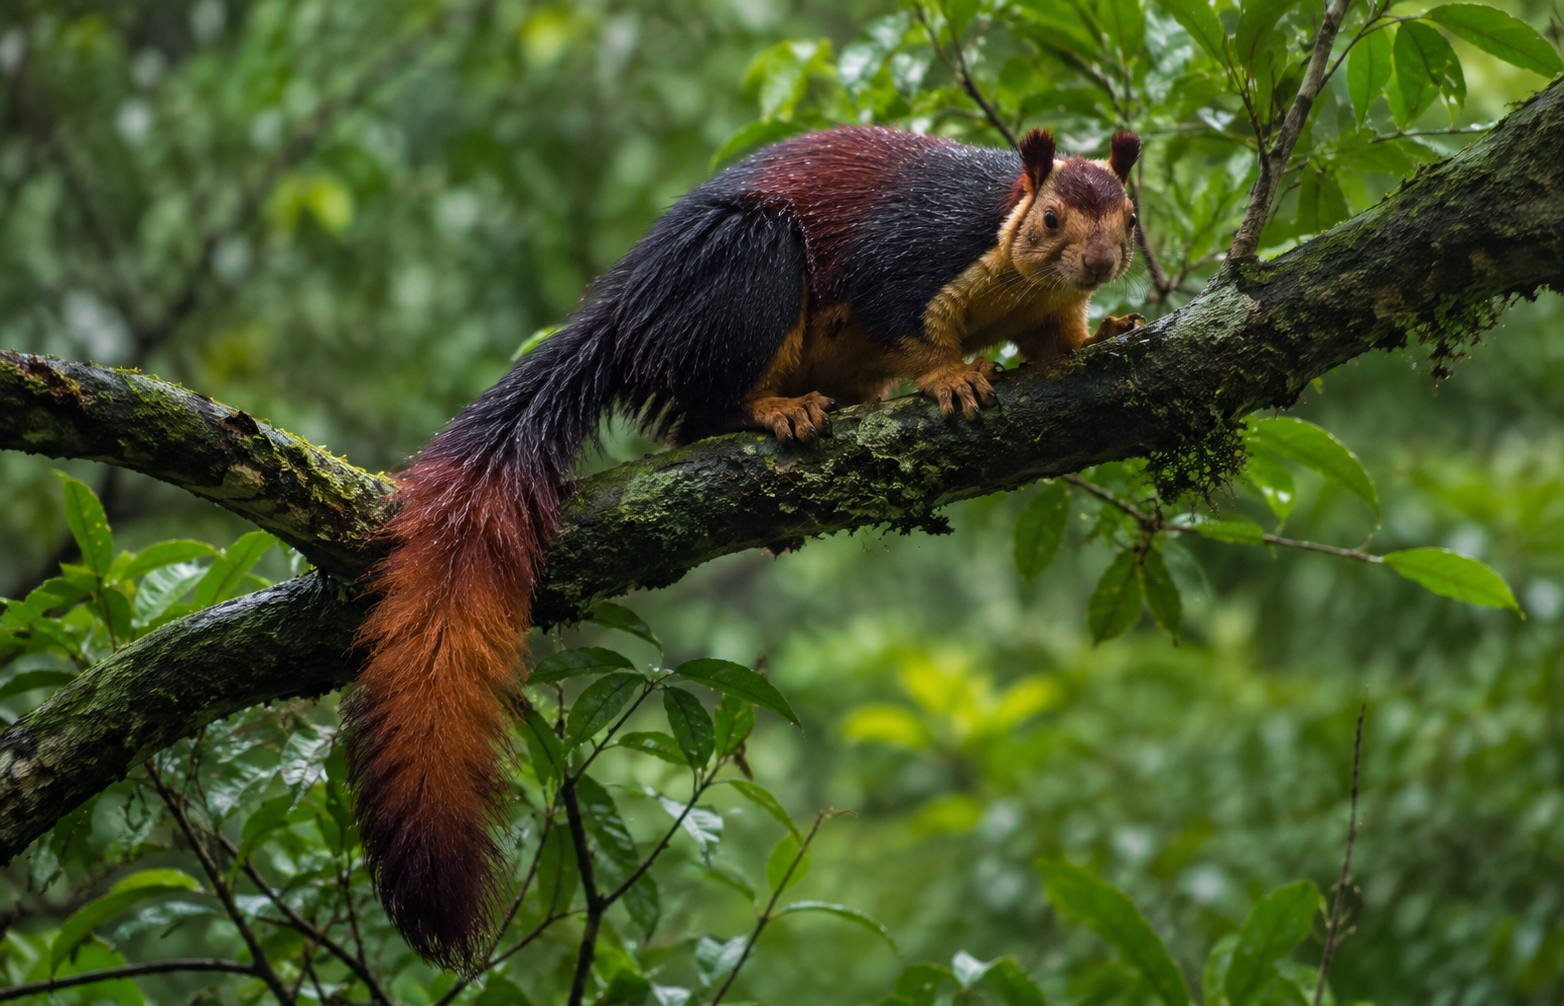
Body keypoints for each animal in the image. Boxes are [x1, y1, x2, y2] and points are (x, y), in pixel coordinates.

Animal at [343, 124, 1142, 971]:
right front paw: (952, 376)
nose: (1101, 264)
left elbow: (1059, 345)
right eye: (1051, 218)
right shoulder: (913, 254)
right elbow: (908, 323)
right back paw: (774, 408)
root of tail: (627, 317)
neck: (1011, 254)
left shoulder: (1049, 307)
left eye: (1130, 217)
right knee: (708, 406)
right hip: (741, 271)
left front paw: (1107, 329)